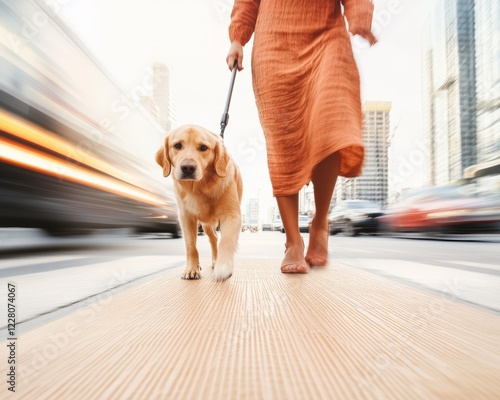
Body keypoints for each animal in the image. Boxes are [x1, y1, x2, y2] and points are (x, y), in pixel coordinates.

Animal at [155, 125, 243, 282]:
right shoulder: (186, 217)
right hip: (206, 225)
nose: (188, 168)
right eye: (177, 145)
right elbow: (191, 246)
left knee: (218, 239)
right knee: (213, 238)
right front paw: (191, 269)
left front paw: (223, 266)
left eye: (203, 147)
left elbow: (226, 240)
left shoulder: (232, 215)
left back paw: (217, 261)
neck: (200, 187)